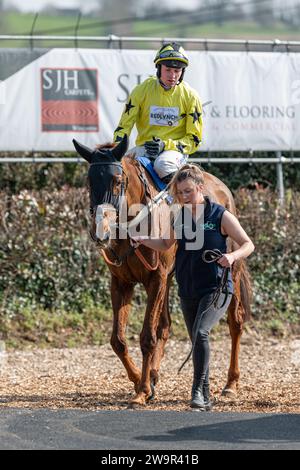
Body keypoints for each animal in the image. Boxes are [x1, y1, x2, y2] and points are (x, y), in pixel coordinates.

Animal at [72, 137, 251, 408]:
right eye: (90, 181)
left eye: (118, 181)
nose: (100, 232)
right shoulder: (121, 282)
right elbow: (118, 340)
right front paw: (140, 380)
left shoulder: (155, 278)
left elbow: (147, 337)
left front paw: (142, 390)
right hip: (169, 279)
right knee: (165, 326)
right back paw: (155, 374)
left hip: (230, 268)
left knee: (236, 321)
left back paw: (231, 383)